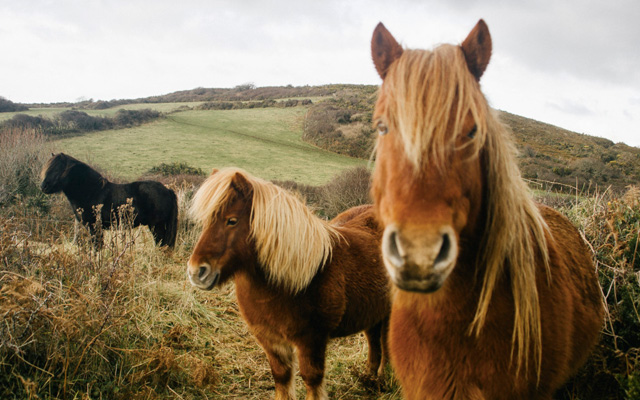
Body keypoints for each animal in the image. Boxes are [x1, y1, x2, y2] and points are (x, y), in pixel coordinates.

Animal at [40, 152, 179, 247]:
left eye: (57, 169)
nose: (43, 186)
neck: (91, 191)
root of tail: (167, 190)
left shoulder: (94, 227)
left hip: (157, 226)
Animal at [185, 167, 390, 398]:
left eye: (232, 220)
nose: (196, 272)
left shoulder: (311, 340)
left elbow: (312, 379)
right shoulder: (270, 340)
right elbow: (281, 376)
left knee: (385, 343)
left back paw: (383, 380)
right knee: (373, 340)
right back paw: (368, 378)